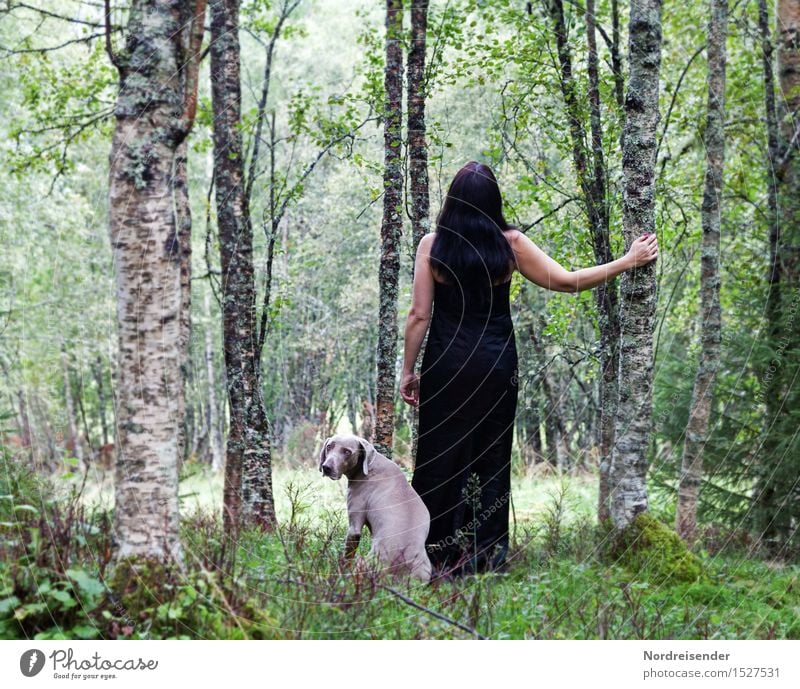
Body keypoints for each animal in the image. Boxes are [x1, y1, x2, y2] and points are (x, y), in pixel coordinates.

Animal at [318, 436, 432, 580]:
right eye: (329, 446)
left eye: (347, 452)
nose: (326, 467)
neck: (368, 467)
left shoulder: (354, 527)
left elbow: (347, 558)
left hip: (364, 562)